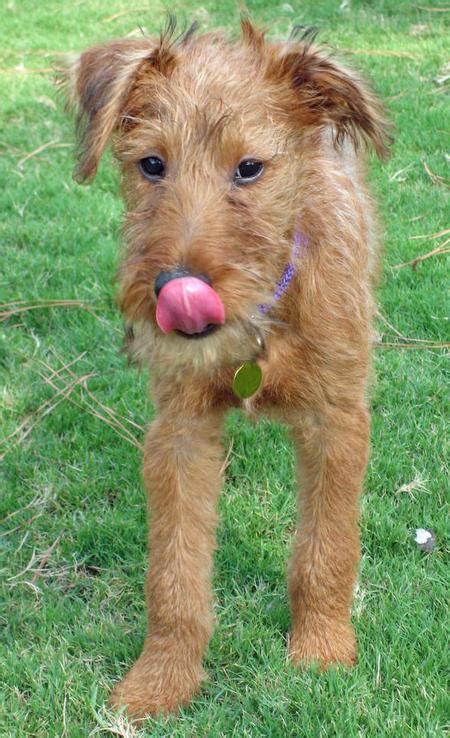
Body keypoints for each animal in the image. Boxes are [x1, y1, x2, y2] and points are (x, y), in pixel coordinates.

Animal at [64, 20, 390, 716]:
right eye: (151, 164)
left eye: (249, 168)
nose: (176, 290)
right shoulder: (179, 432)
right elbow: (174, 577)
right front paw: (160, 679)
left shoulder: (337, 420)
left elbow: (326, 549)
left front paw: (321, 651)